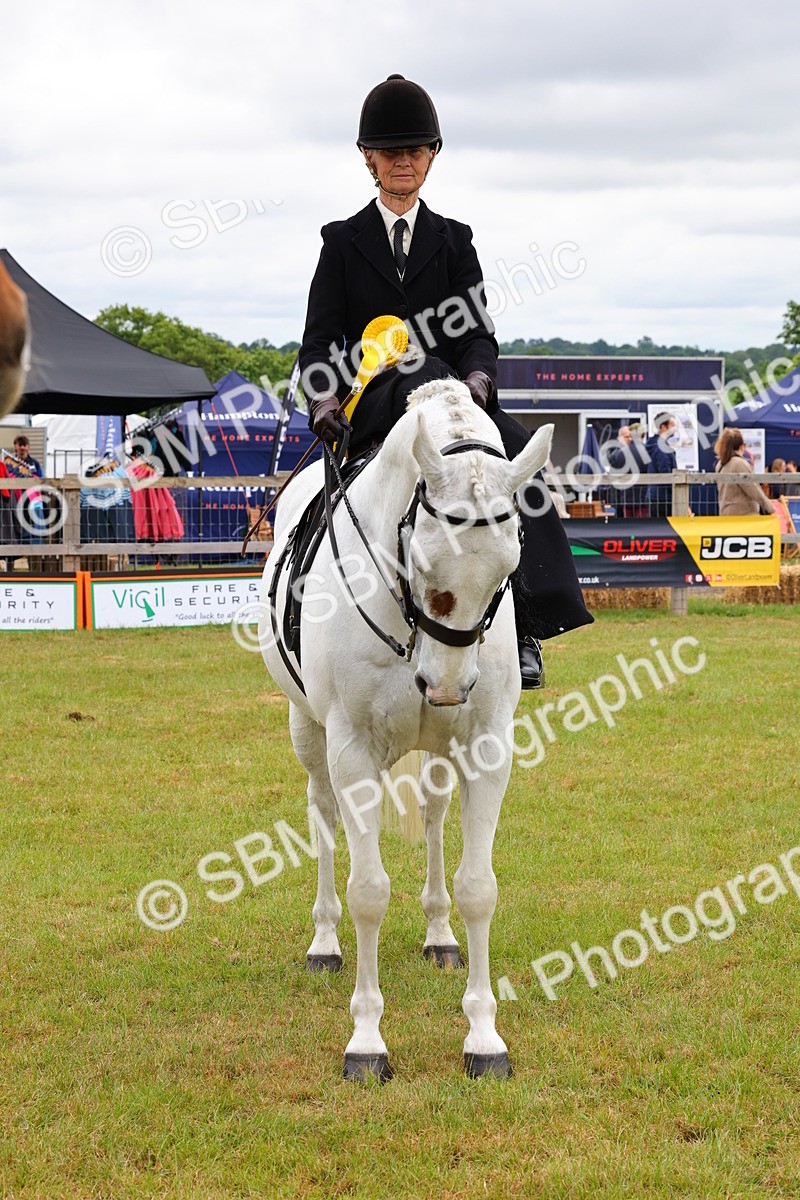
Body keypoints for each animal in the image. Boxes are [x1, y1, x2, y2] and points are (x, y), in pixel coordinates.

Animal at [259, 378, 553, 1080]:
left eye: (510, 564)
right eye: (422, 558)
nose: (444, 685)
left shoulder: (486, 746)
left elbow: (478, 889)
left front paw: (484, 1039)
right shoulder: (352, 749)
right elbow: (368, 891)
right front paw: (366, 1042)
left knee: (433, 815)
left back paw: (440, 936)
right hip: (309, 732)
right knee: (323, 816)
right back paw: (325, 941)